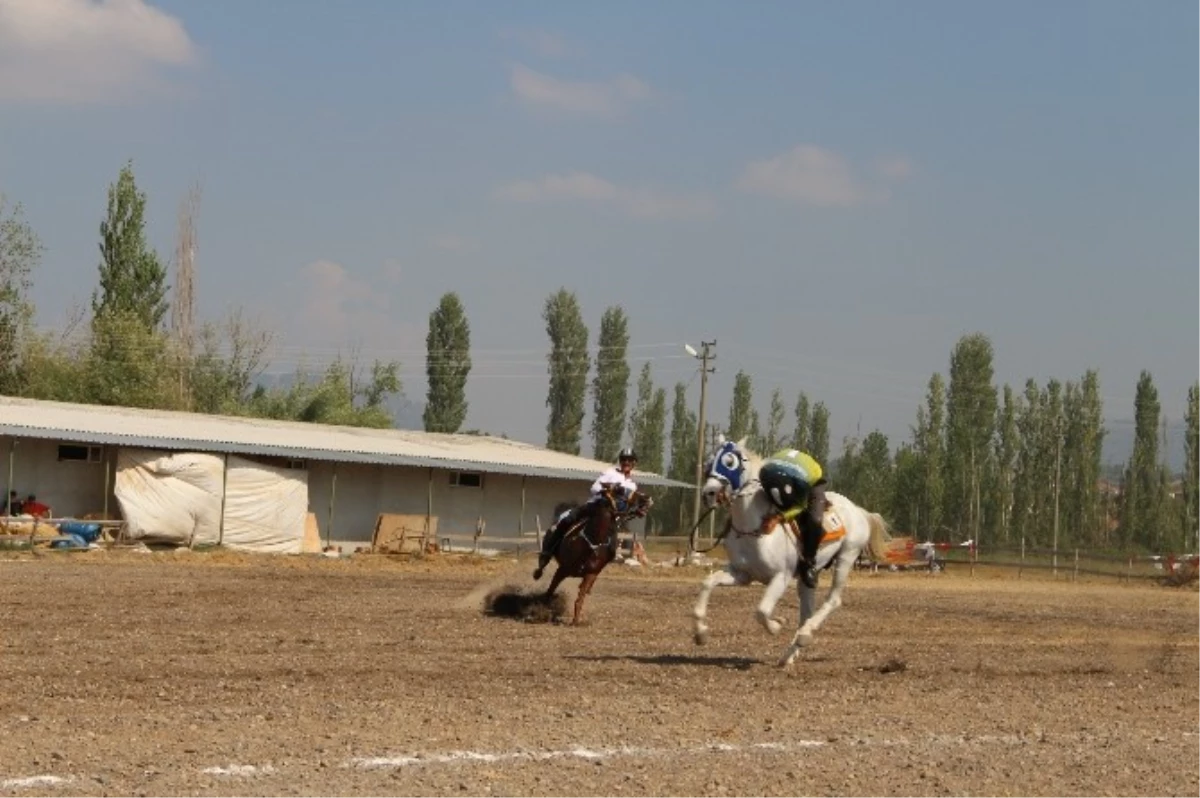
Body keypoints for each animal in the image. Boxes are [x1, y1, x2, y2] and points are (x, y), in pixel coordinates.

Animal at [542, 484, 648, 624]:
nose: (646, 498)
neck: (592, 543)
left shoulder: (590, 574)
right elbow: (550, 590)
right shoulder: (562, 570)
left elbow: (580, 599)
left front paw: (576, 620)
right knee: (542, 563)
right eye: (620, 490)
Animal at [696, 439, 892, 662]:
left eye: (730, 462)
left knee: (833, 600)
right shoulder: (742, 574)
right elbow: (707, 583)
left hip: (846, 556)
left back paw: (805, 635)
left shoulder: (781, 577)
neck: (753, 529)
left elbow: (761, 611)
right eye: (708, 462)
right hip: (807, 580)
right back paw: (789, 654)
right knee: (806, 612)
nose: (709, 493)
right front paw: (700, 633)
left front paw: (776, 625)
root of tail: (858, 510)